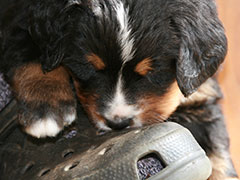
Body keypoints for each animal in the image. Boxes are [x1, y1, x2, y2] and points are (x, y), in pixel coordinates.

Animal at [0, 0, 238, 179]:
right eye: (87, 67)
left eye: (153, 72)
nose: (118, 123)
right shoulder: (19, 17)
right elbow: (32, 53)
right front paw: (45, 110)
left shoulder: (203, 96)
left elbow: (218, 154)